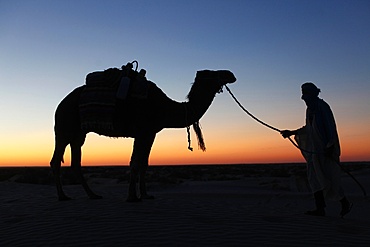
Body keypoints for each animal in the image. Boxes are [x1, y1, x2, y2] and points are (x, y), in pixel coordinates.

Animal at [49, 64, 236, 203]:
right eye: (212, 73)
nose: (230, 74)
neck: (164, 107)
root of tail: (60, 104)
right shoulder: (142, 131)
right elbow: (135, 162)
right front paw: (132, 196)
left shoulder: (150, 133)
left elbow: (144, 163)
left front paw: (145, 195)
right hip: (64, 128)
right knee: (56, 160)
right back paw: (62, 196)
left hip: (78, 133)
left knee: (75, 162)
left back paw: (93, 195)